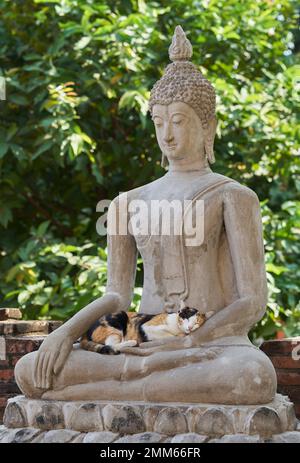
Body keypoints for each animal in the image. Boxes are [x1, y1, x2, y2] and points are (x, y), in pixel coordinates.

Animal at [80, 308, 213, 356]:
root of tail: (84, 333)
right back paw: (132, 342)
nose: (190, 327)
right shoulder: (147, 327)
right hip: (117, 321)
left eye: (196, 323)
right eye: (187, 319)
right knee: (111, 344)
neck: (176, 326)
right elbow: (167, 334)